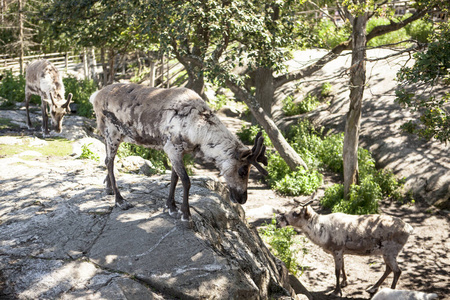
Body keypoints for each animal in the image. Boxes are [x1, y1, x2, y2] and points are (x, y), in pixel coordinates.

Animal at [278, 202, 414, 296]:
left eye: (296, 213)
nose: (279, 219)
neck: (321, 230)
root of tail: (409, 228)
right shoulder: (341, 251)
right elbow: (343, 266)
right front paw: (345, 283)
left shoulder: (337, 250)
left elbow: (337, 271)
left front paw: (336, 291)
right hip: (386, 253)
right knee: (389, 269)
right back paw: (372, 288)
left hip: (390, 252)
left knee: (397, 271)